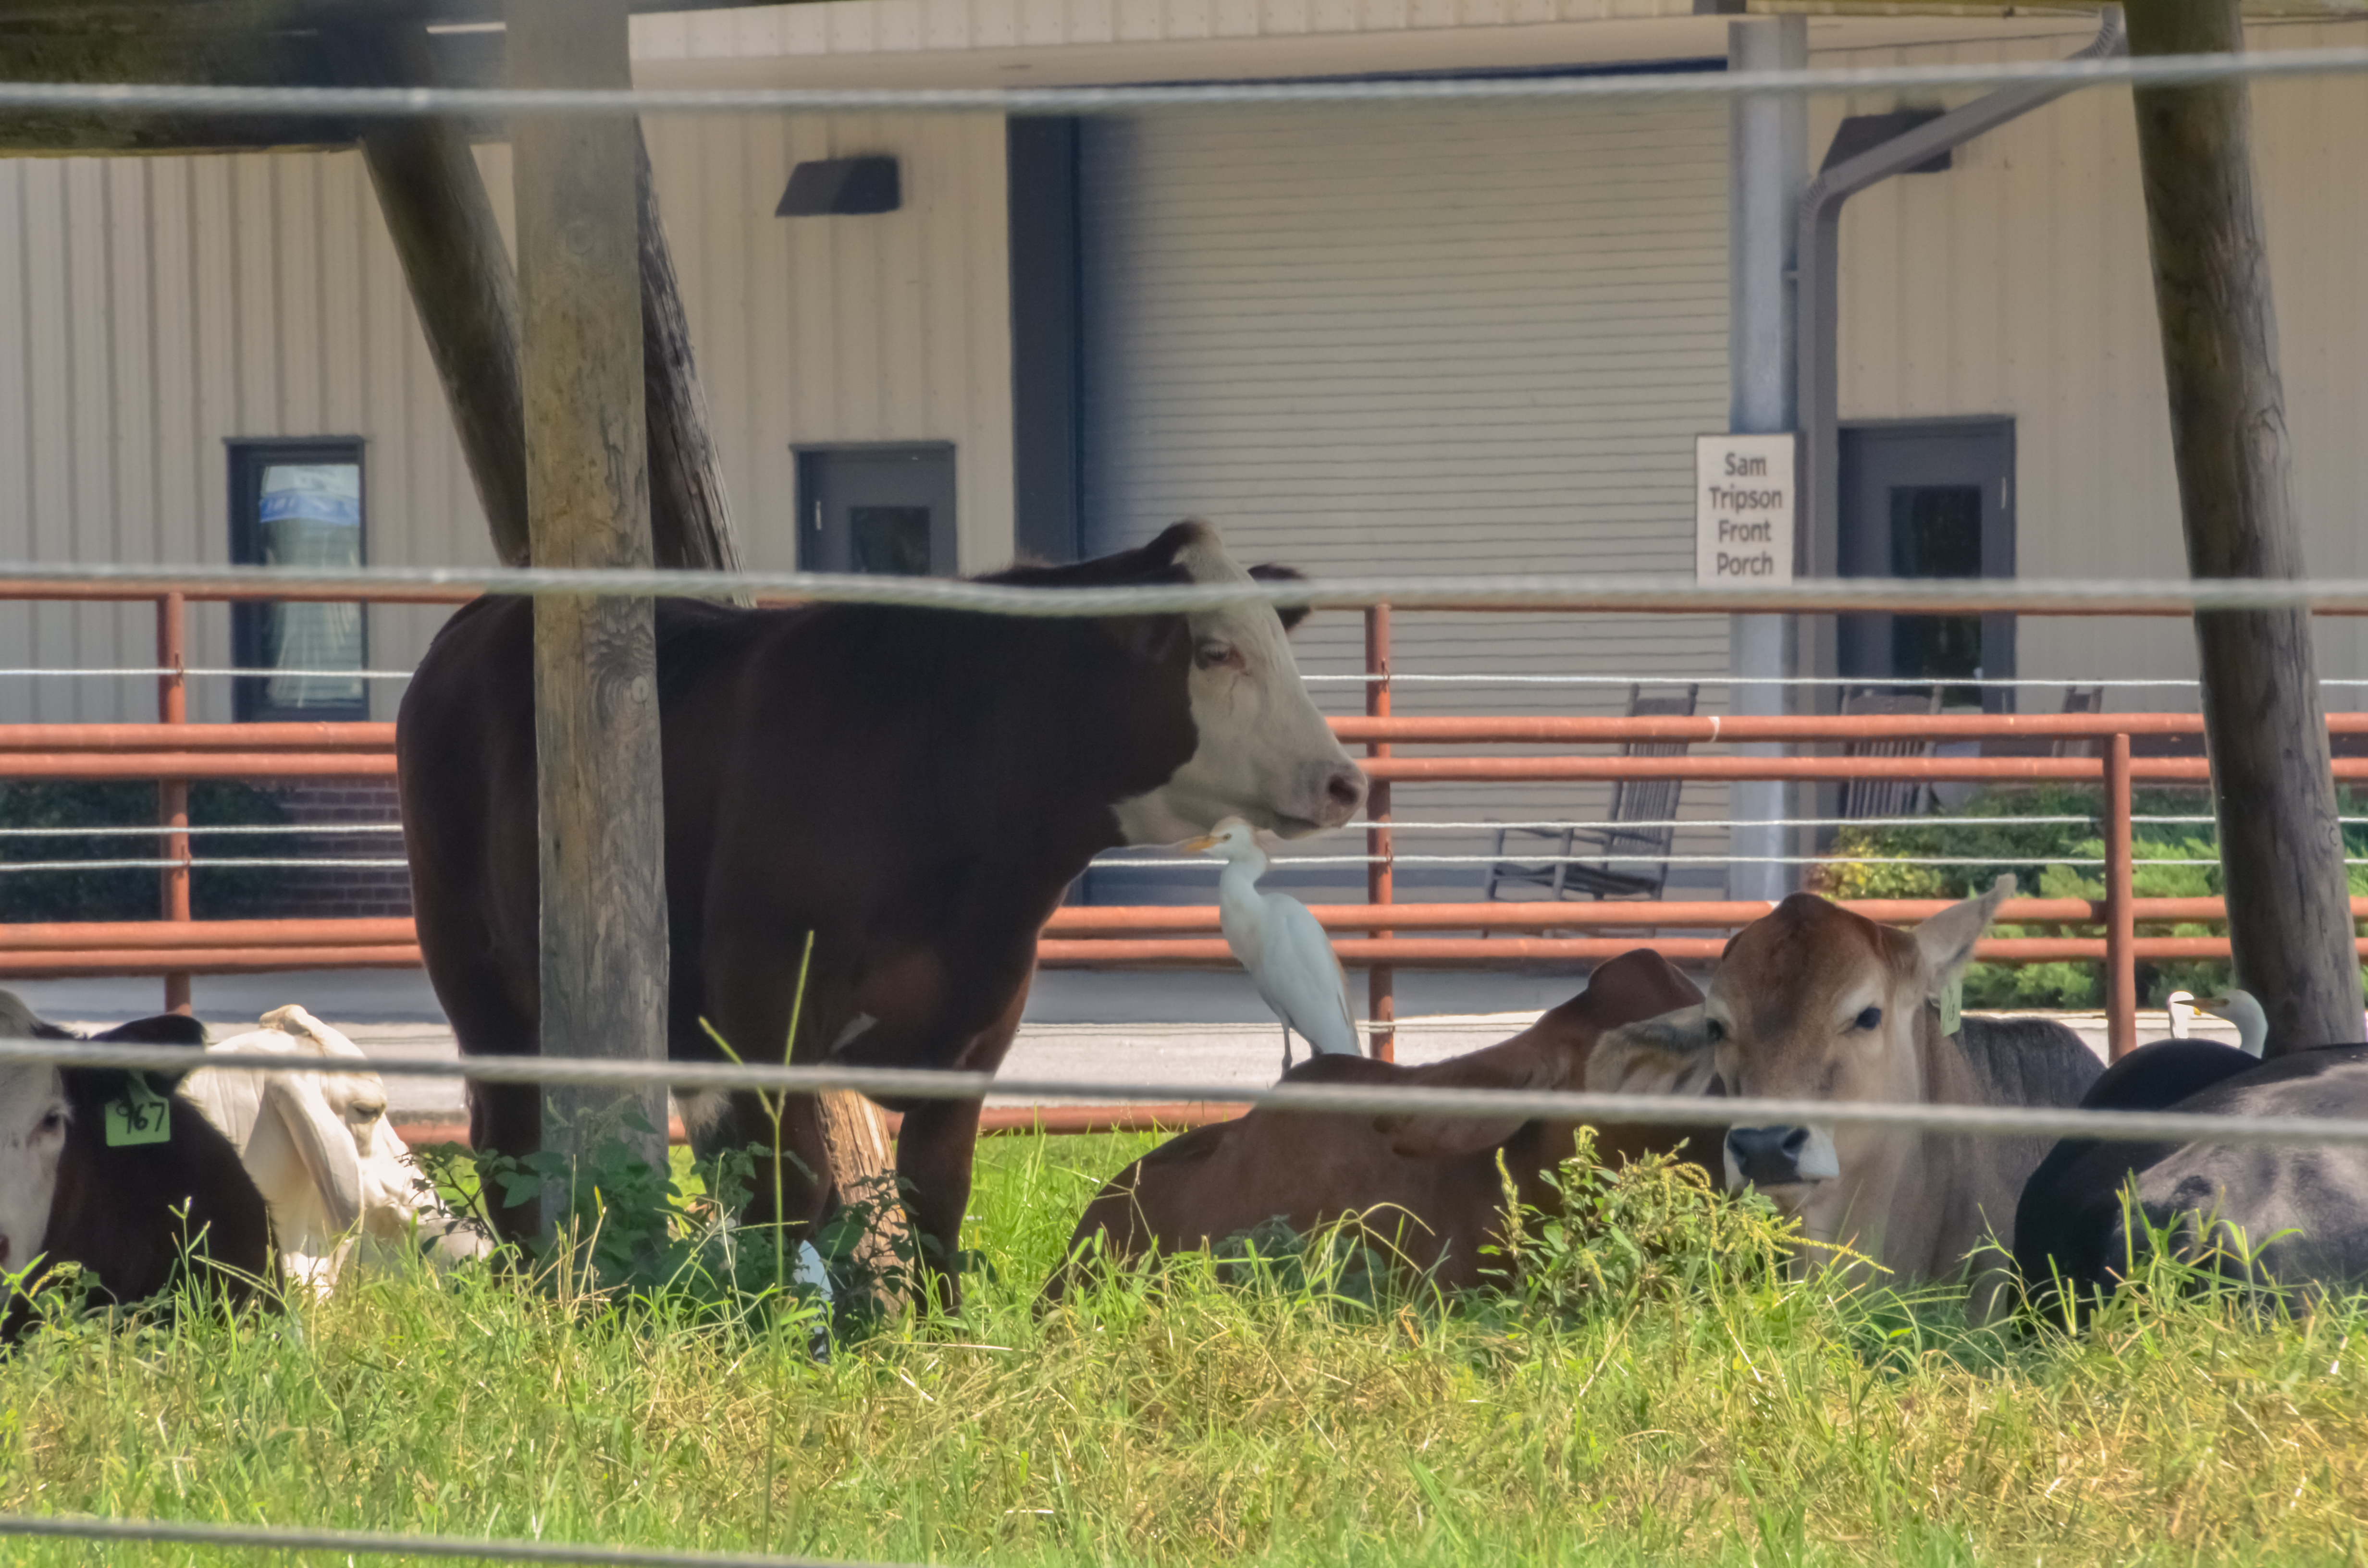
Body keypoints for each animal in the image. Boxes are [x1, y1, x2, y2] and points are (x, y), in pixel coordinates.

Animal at [397, 521, 1364, 1307]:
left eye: (1276, 642)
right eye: (1216, 652)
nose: (1344, 779)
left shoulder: (982, 1019)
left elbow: (934, 1191)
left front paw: (945, 1330)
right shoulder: (767, 999)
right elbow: (793, 1192)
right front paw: (781, 1330)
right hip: (477, 978)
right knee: (508, 1143)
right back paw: (536, 1290)